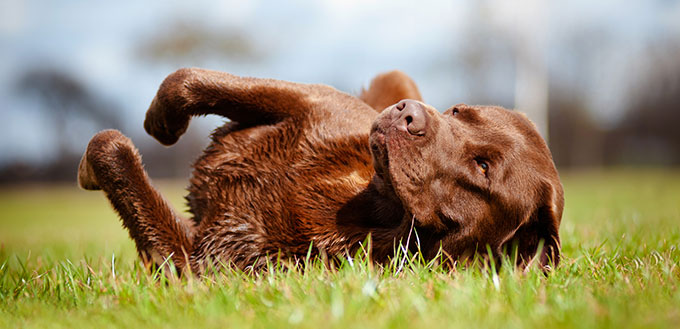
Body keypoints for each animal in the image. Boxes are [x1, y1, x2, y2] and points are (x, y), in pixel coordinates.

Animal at [77, 68, 564, 272]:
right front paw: (161, 123)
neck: (369, 202)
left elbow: (109, 149)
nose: (409, 114)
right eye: (458, 111)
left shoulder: (206, 266)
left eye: (483, 167)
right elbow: (185, 79)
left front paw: (88, 167)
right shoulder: (313, 99)